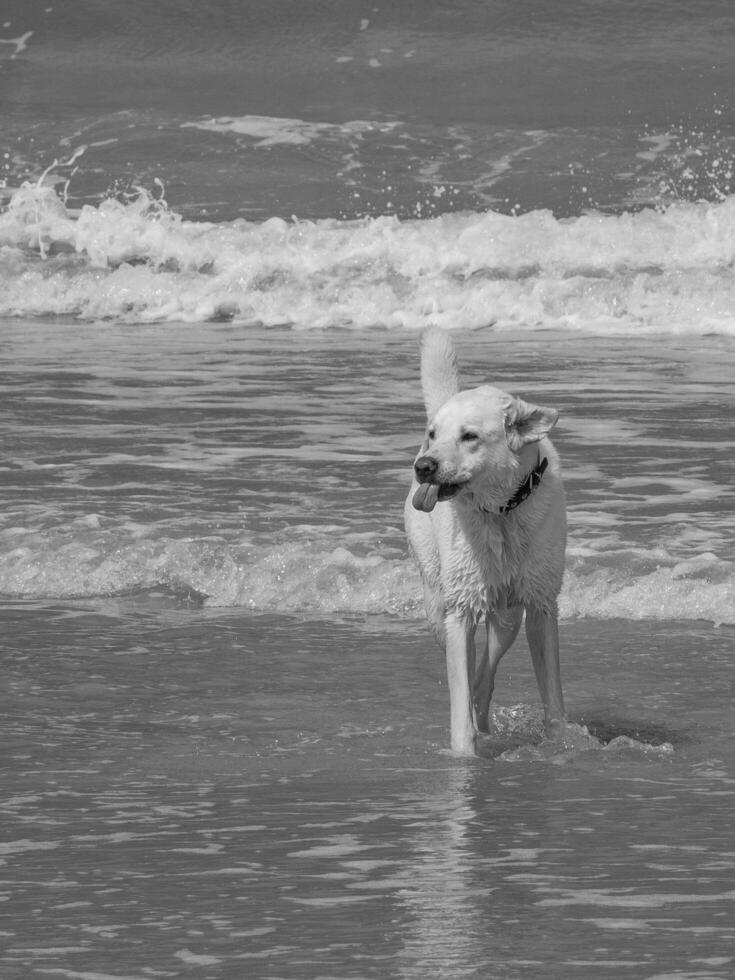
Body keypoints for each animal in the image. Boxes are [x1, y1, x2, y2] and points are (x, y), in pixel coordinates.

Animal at [406, 330, 568, 756]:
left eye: (470, 436)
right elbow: (460, 693)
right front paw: (464, 755)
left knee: (486, 666)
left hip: (508, 611)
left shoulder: (541, 604)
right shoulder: (460, 608)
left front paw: (560, 743)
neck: (501, 512)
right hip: (439, 599)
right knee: (464, 659)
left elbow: (553, 695)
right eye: (433, 433)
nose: (423, 466)